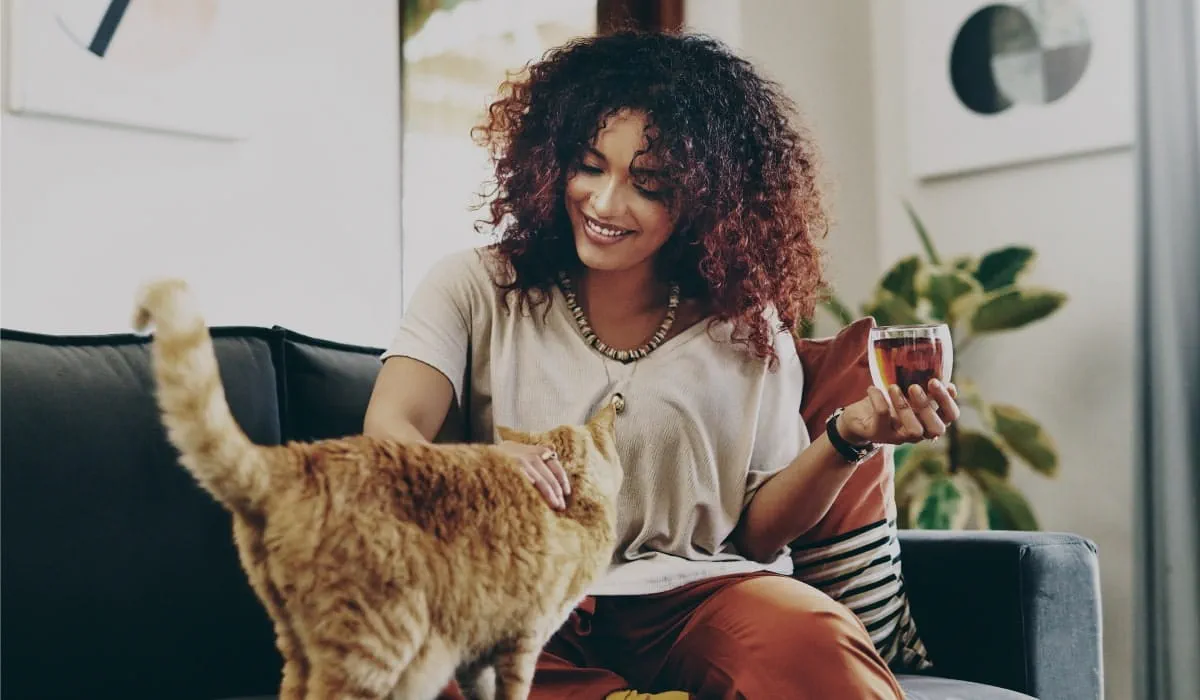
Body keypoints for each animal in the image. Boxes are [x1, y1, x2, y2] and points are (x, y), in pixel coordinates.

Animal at [135, 280, 628, 700]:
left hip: (299, 647)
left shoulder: (476, 648)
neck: (573, 503)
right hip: (378, 647)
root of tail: (295, 458)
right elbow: (514, 691)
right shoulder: (522, 639)